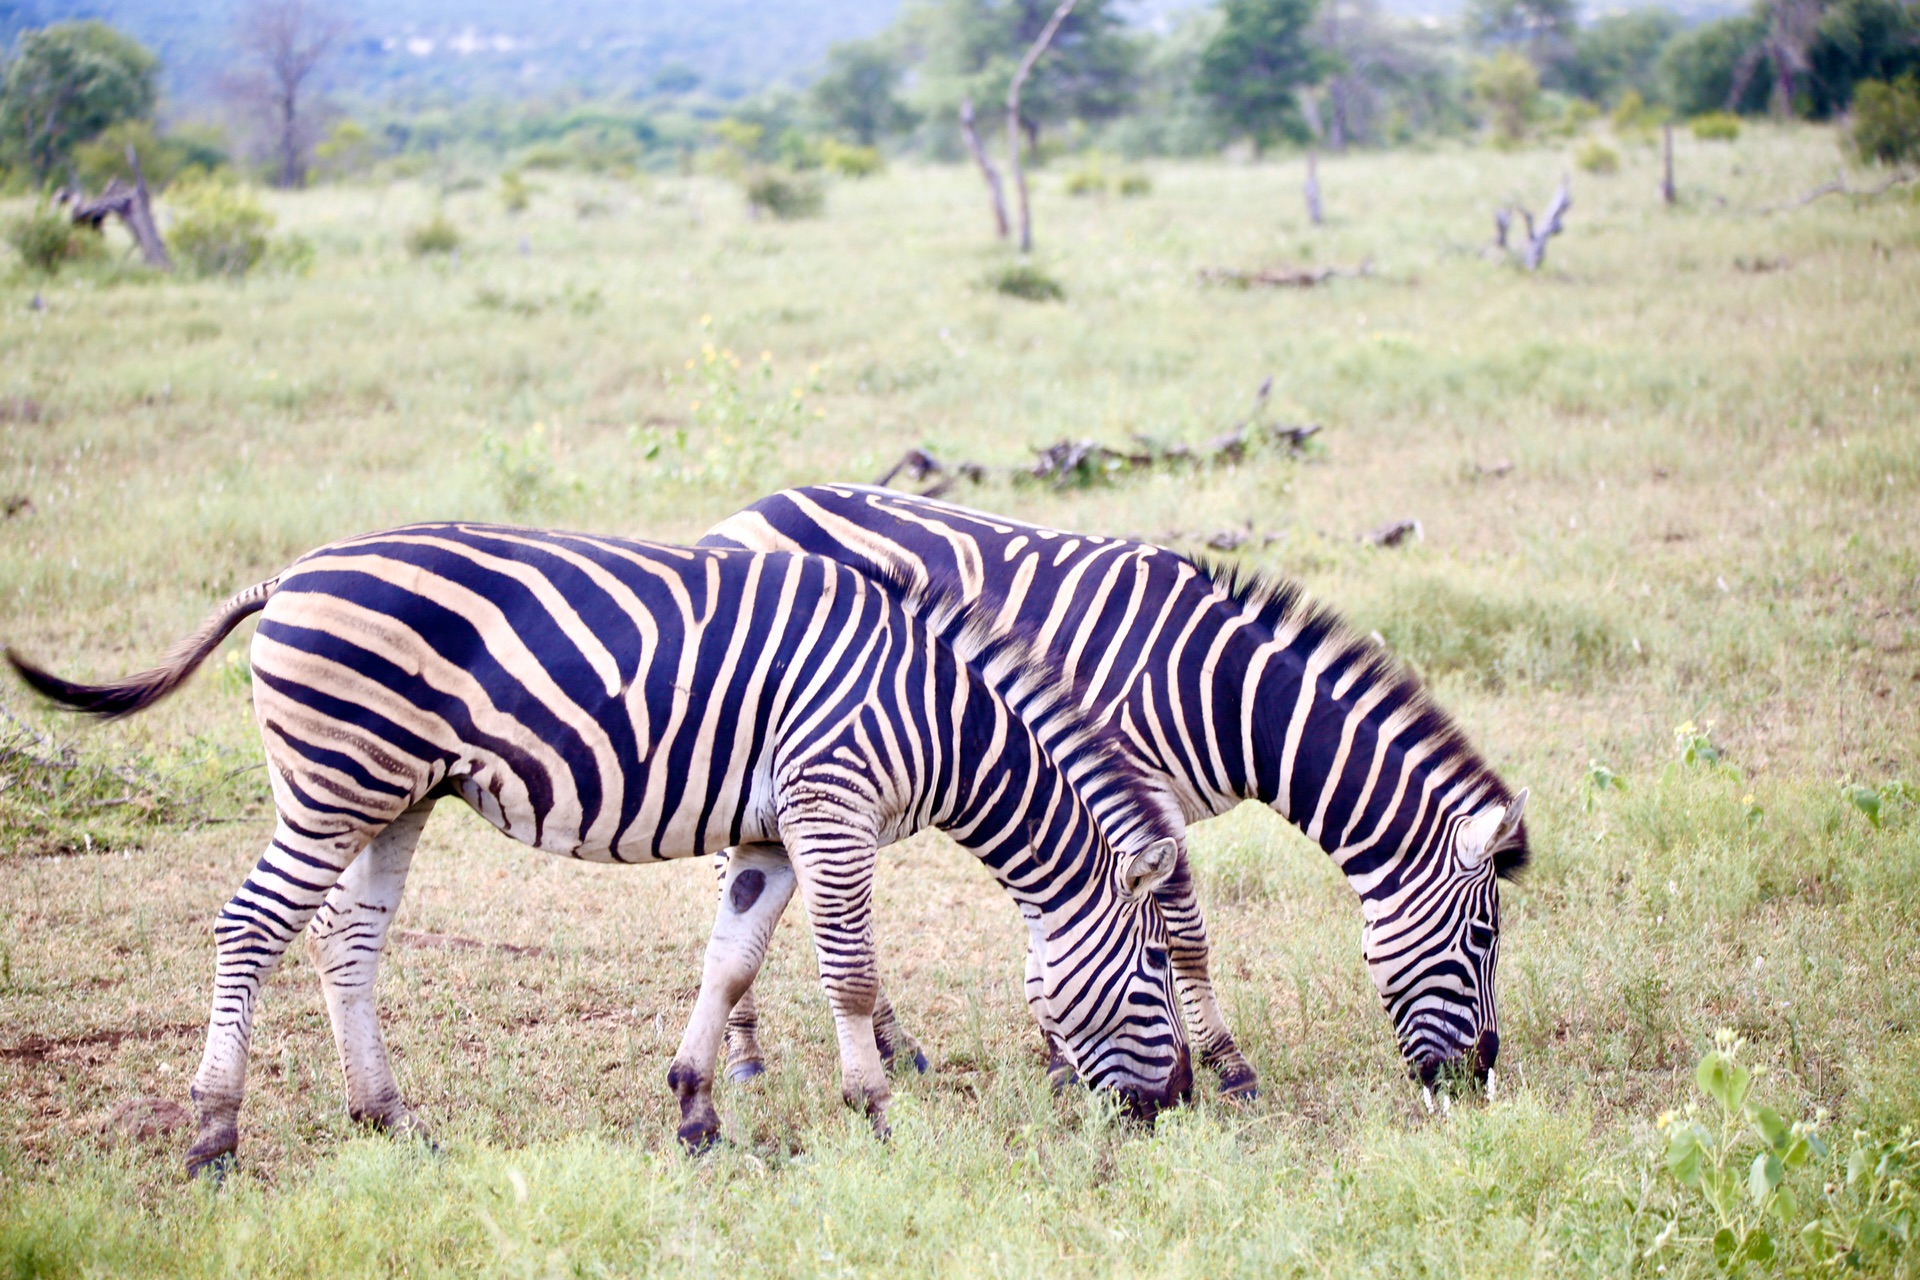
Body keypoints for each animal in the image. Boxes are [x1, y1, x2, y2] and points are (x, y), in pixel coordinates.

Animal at [7, 521, 1190, 1174]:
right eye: (1151, 971)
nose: (1172, 1107)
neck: (944, 719)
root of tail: (288, 577)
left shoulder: (770, 832)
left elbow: (731, 962)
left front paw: (698, 1110)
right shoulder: (832, 803)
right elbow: (849, 975)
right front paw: (877, 1115)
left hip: (392, 794)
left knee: (346, 939)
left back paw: (389, 1118)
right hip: (335, 781)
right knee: (251, 924)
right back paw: (214, 1135)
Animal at [706, 483, 1528, 1105]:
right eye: (1484, 938)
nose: (1478, 1072)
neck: (1223, 691)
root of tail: (740, 513)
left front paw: (1061, 1055)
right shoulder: (1141, 799)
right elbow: (1185, 941)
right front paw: (1229, 1069)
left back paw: (896, 1045)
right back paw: (746, 1056)